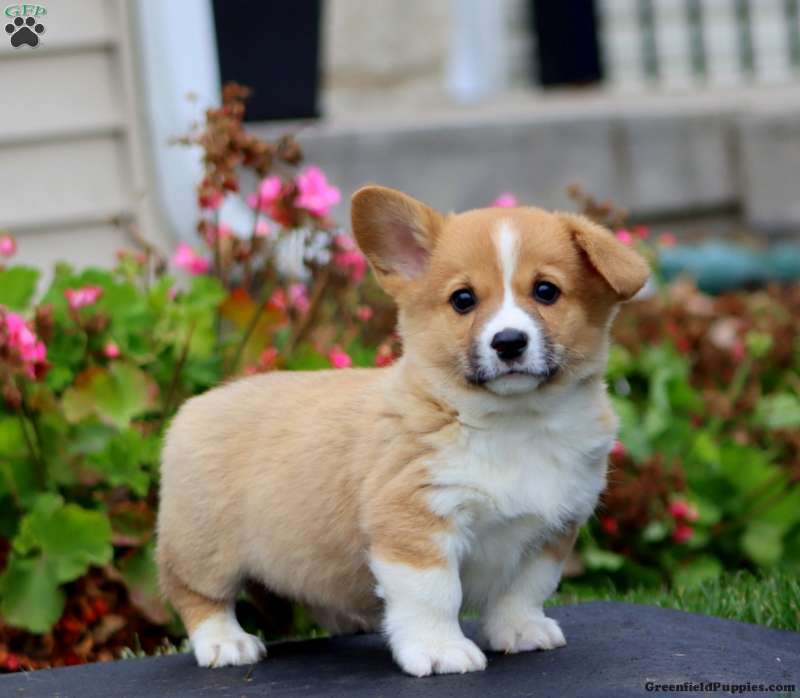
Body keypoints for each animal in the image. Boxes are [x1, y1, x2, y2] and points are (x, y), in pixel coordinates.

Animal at [156, 186, 649, 677]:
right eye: (463, 299)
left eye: (546, 291)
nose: (508, 342)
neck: (514, 423)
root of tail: (196, 406)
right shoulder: (416, 525)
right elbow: (435, 596)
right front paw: (440, 650)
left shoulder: (549, 533)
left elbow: (523, 591)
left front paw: (521, 631)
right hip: (203, 548)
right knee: (195, 594)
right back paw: (226, 642)